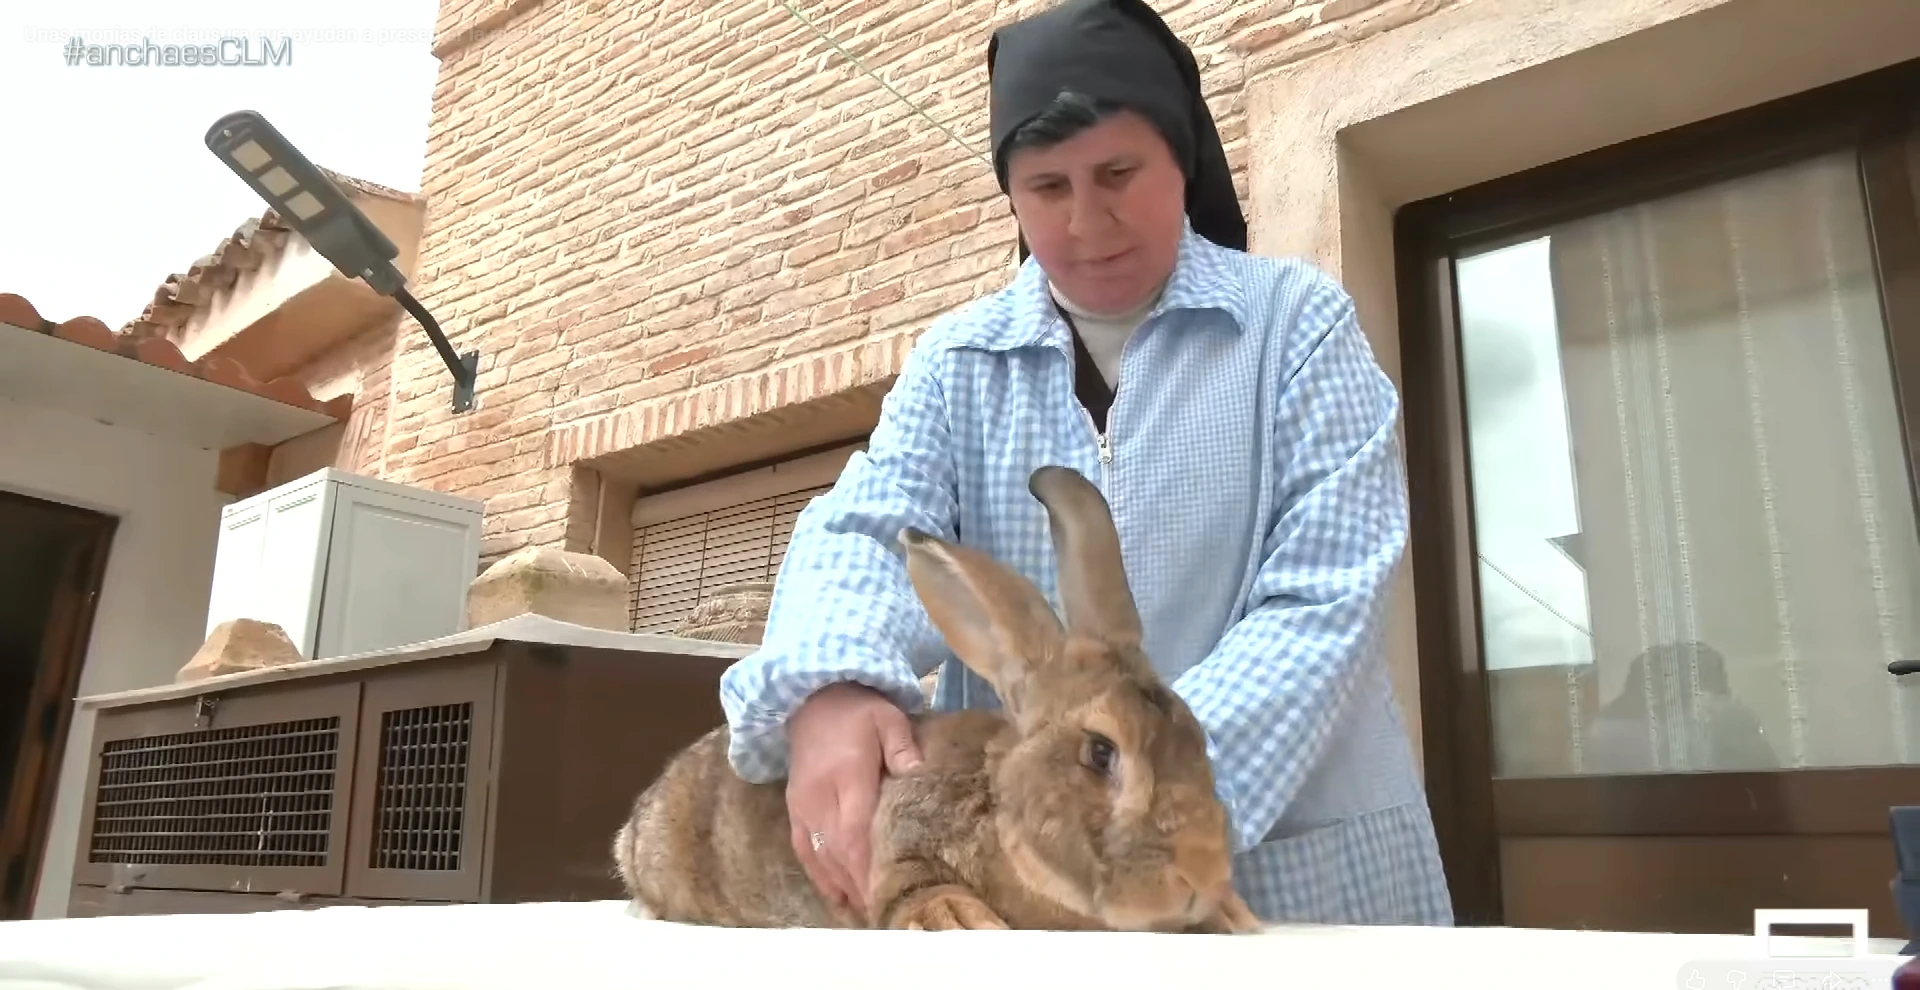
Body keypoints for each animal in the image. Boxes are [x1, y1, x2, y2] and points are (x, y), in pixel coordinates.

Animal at [612, 464, 1264, 935]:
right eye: (1101, 753)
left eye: (1200, 742)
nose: (1203, 873)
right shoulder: (895, 841)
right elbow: (913, 887)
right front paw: (957, 920)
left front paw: (1234, 915)